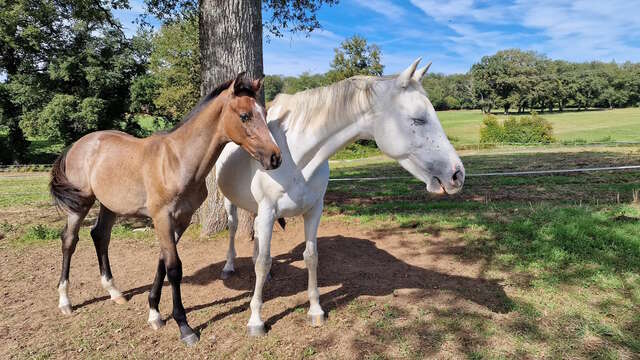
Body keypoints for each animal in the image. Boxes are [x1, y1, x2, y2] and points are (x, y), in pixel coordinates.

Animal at [50, 73, 280, 346]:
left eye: (264, 113)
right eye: (245, 115)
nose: (275, 158)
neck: (177, 161)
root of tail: (77, 145)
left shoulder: (180, 220)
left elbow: (162, 262)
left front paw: (154, 313)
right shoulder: (162, 218)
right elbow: (173, 268)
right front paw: (184, 326)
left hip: (109, 204)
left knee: (100, 235)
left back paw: (114, 292)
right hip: (81, 203)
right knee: (69, 241)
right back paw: (65, 301)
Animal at [215, 57, 464, 336]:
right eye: (418, 119)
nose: (457, 174)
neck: (295, 157)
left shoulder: (313, 210)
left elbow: (310, 257)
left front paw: (315, 310)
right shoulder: (269, 211)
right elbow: (263, 262)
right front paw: (256, 320)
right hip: (230, 204)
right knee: (234, 229)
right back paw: (229, 266)